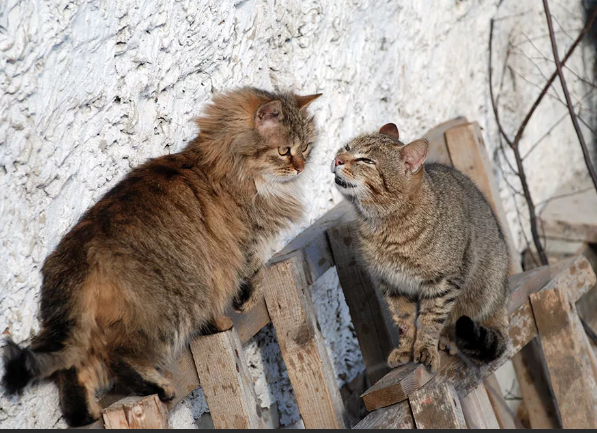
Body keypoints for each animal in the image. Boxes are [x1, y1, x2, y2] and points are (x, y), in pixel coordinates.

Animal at [1, 86, 322, 424]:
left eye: (306, 147)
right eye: (284, 150)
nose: (301, 166)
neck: (226, 161)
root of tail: (78, 255)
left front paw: (222, 319)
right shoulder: (247, 242)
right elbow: (255, 272)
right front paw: (242, 303)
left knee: (74, 375)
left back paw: (88, 414)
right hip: (169, 304)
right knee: (117, 357)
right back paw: (157, 387)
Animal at [330, 122, 508, 372]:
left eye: (366, 160)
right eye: (347, 147)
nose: (338, 159)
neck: (384, 225)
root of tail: (502, 299)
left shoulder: (443, 283)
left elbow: (429, 320)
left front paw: (425, 348)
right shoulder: (392, 285)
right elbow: (404, 320)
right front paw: (405, 349)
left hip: (483, 288)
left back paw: (447, 339)